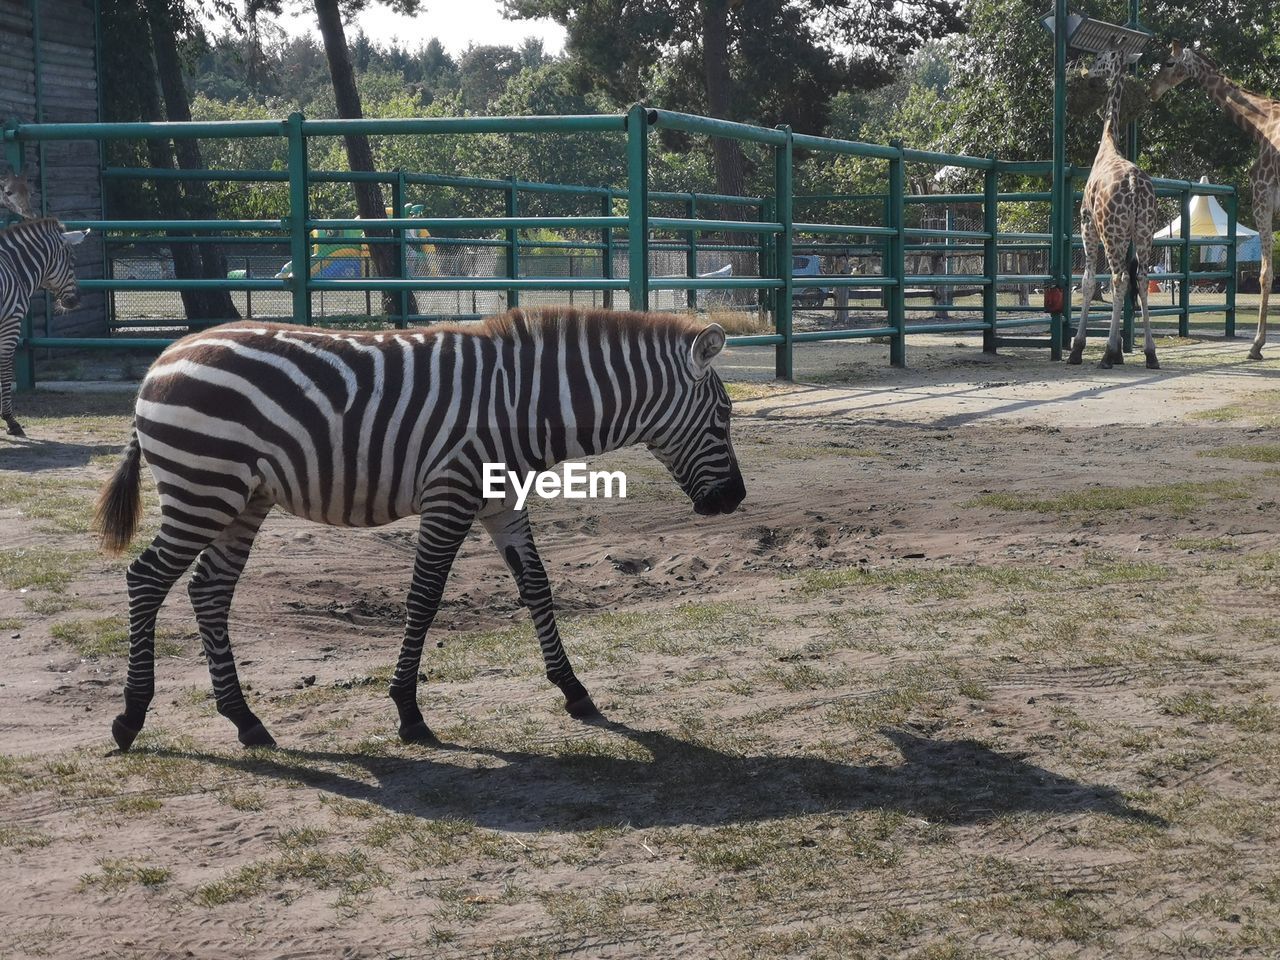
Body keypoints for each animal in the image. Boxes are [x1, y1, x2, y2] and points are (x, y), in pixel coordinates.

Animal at [1, 217, 87, 435]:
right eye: (72, 260)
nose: (77, 300)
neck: (14, 267)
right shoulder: (11, 322)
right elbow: (5, 369)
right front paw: (10, 421)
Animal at [94, 308, 747, 752]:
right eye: (724, 417)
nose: (735, 500)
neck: (527, 406)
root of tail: (165, 357)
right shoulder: (450, 495)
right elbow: (425, 598)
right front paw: (408, 711)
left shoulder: (500, 499)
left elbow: (536, 586)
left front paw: (573, 690)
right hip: (204, 488)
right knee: (146, 579)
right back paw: (130, 717)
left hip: (243, 498)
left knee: (209, 590)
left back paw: (245, 720)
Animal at [1070, 40, 1162, 368]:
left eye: (1101, 57)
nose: (1088, 71)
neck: (1108, 143)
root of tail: (1135, 185)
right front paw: (1123, 349)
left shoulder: (1086, 224)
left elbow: (1087, 281)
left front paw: (1078, 349)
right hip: (1144, 232)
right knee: (1142, 278)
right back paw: (1150, 353)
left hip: (1111, 232)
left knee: (1118, 278)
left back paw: (1107, 354)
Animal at [1152, 39, 1280, 363]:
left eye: (1168, 63)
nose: (1152, 89)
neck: (1261, 123)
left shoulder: (1263, 191)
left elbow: (1265, 274)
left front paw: (1256, 346)